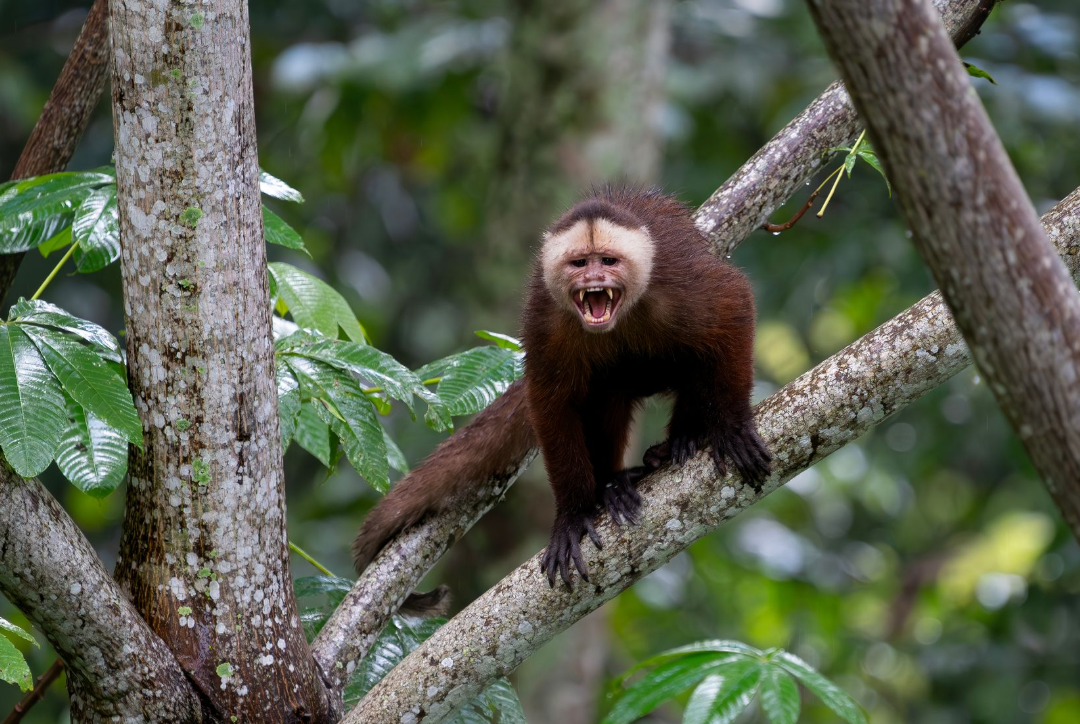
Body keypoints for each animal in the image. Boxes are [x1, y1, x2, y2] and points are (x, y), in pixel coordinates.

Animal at [351, 187, 771, 606]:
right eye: (579, 263)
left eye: (608, 261)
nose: (594, 277)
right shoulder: (546, 319)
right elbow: (551, 404)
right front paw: (572, 515)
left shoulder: (676, 285)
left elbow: (733, 305)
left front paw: (732, 429)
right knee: (608, 387)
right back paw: (612, 485)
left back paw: (682, 438)